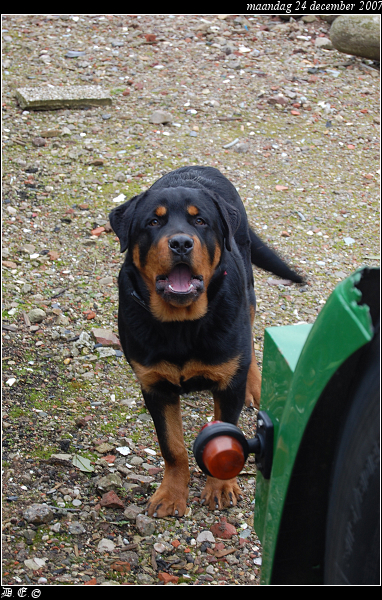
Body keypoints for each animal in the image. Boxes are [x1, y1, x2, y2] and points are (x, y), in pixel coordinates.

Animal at [109, 166, 302, 516]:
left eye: (200, 221)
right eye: (153, 222)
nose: (181, 243)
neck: (181, 325)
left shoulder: (227, 387)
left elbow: (226, 435)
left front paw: (221, 487)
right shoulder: (155, 387)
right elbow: (172, 447)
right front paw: (172, 494)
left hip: (247, 293)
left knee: (250, 340)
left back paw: (255, 384)